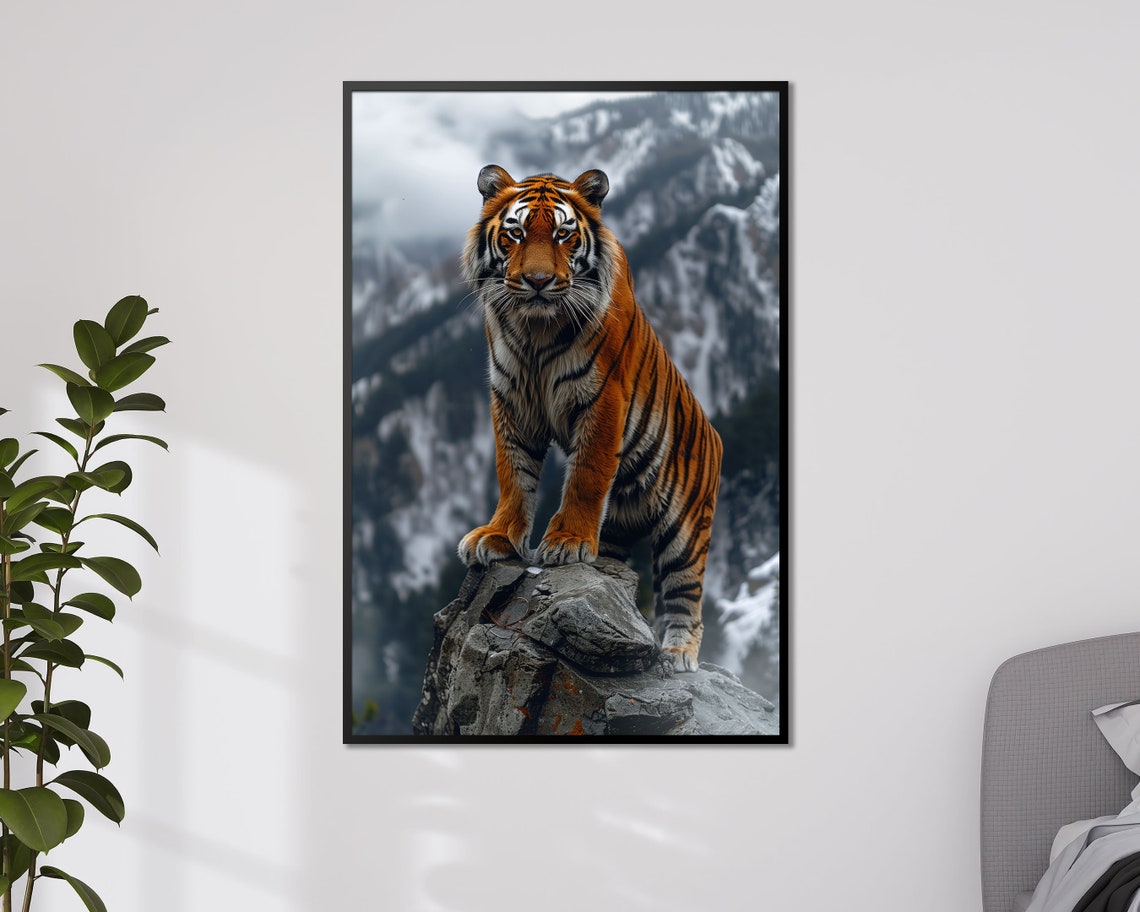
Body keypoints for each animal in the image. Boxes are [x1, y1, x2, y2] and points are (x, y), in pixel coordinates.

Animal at [457, 164, 723, 672]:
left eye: (564, 234)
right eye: (515, 233)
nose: (538, 280)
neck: (535, 330)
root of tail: (715, 433)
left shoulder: (603, 398)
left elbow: (586, 474)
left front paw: (567, 542)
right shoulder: (511, 399)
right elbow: (512, 473)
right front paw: (498, 536)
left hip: (687, 529)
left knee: (686, 594)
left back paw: (677, 655)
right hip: (620, 524)